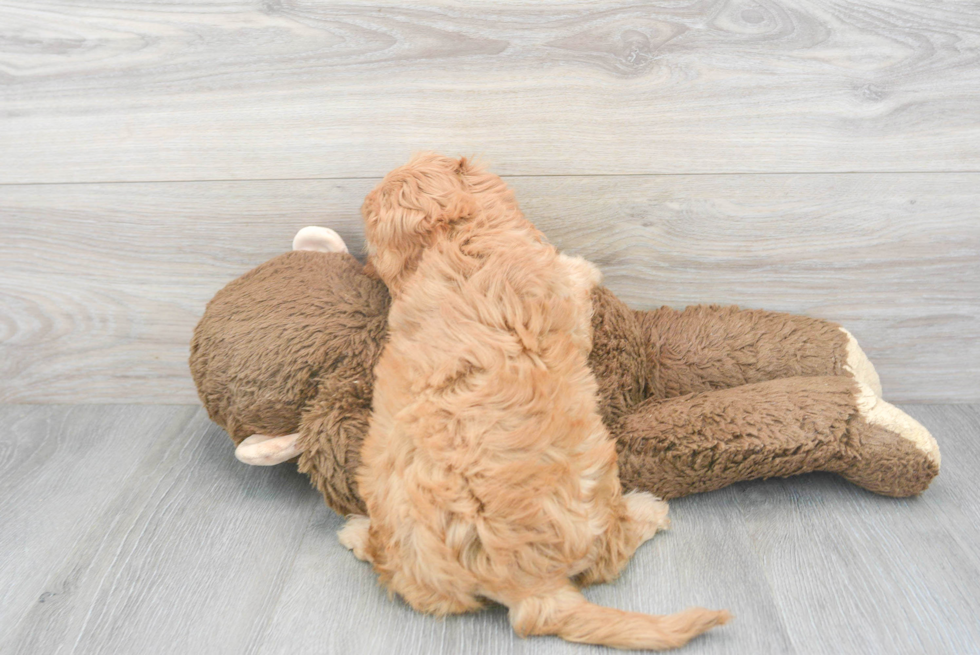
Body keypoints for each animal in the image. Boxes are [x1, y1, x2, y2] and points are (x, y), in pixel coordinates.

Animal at [340, 155, 732, 652]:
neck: (453, 239)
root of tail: (527, 585)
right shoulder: (566, 301)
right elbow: (576, 279)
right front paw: (584, 266)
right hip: (597, 484)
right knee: (613, 552)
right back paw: (650, 510)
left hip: (410, 553)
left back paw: (355, 532)